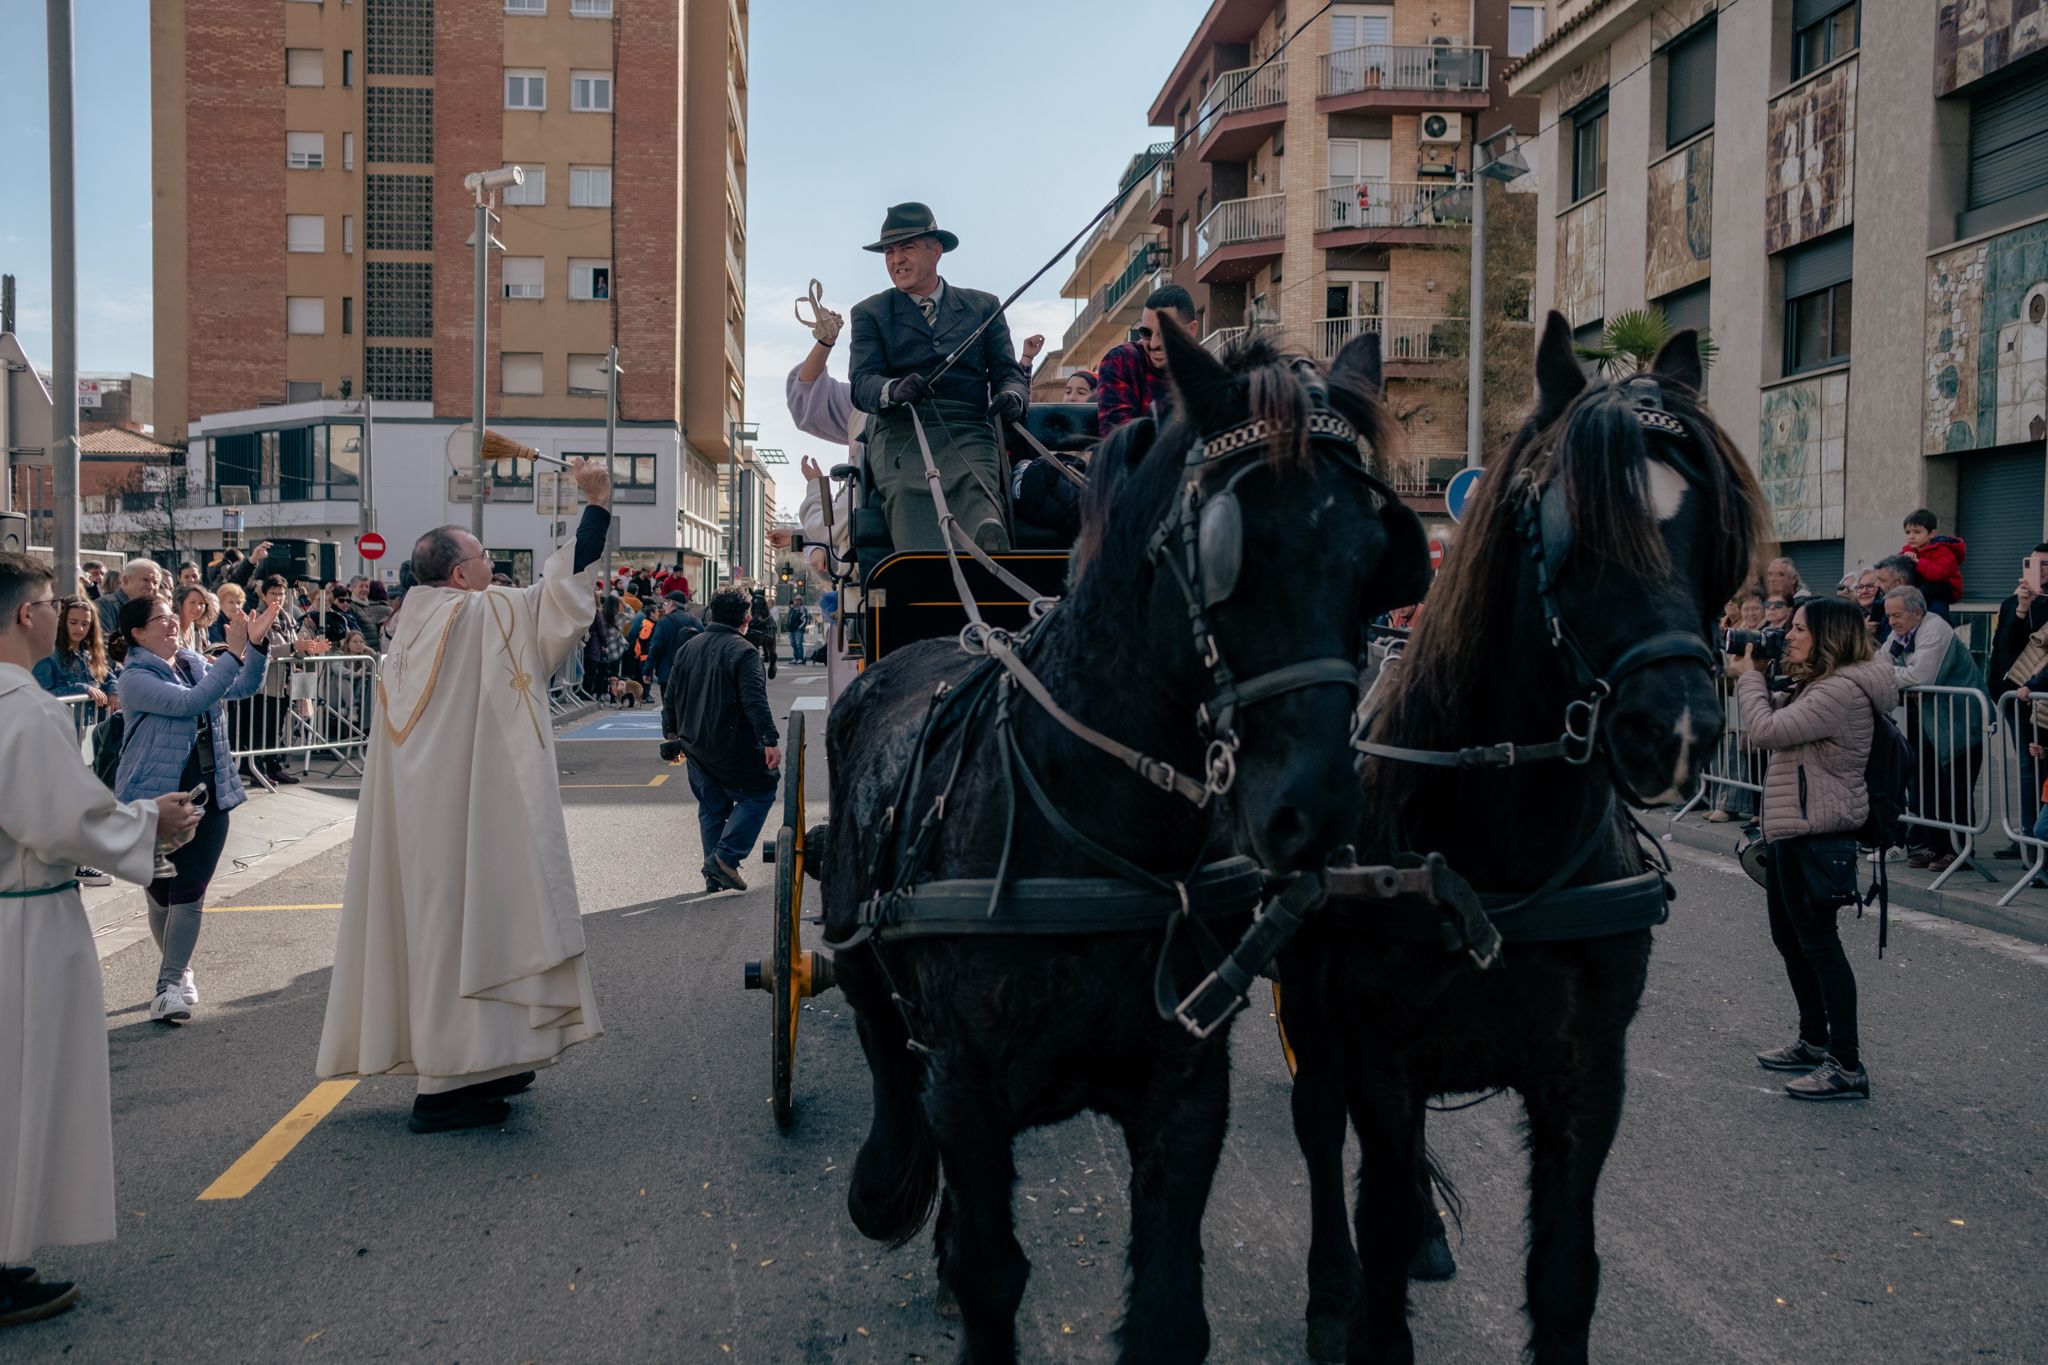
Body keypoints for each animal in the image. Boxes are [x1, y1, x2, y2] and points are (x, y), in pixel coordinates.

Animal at [815, 325, 1425, 1358]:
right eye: (1225, 549)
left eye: (1380, 554)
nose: (1318, 811)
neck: (1094, 828)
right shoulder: (966, 1091)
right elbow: (988, 1270)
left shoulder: (1185, 1091)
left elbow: (1170, 1312)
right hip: (853, 937)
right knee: (880, 1038)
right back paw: (885, 1175)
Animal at [1286, 315, 1769, 1358]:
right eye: (1570, 526)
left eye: (1710, 530)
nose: (1678, 730)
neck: (1504, 856)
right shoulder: (1380, 1058)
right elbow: (1378, 1235)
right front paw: (1358, 1300)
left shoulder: (1587, 1074)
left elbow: (1564, 1273)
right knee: (1317, 1127)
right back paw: (1329, 1290)